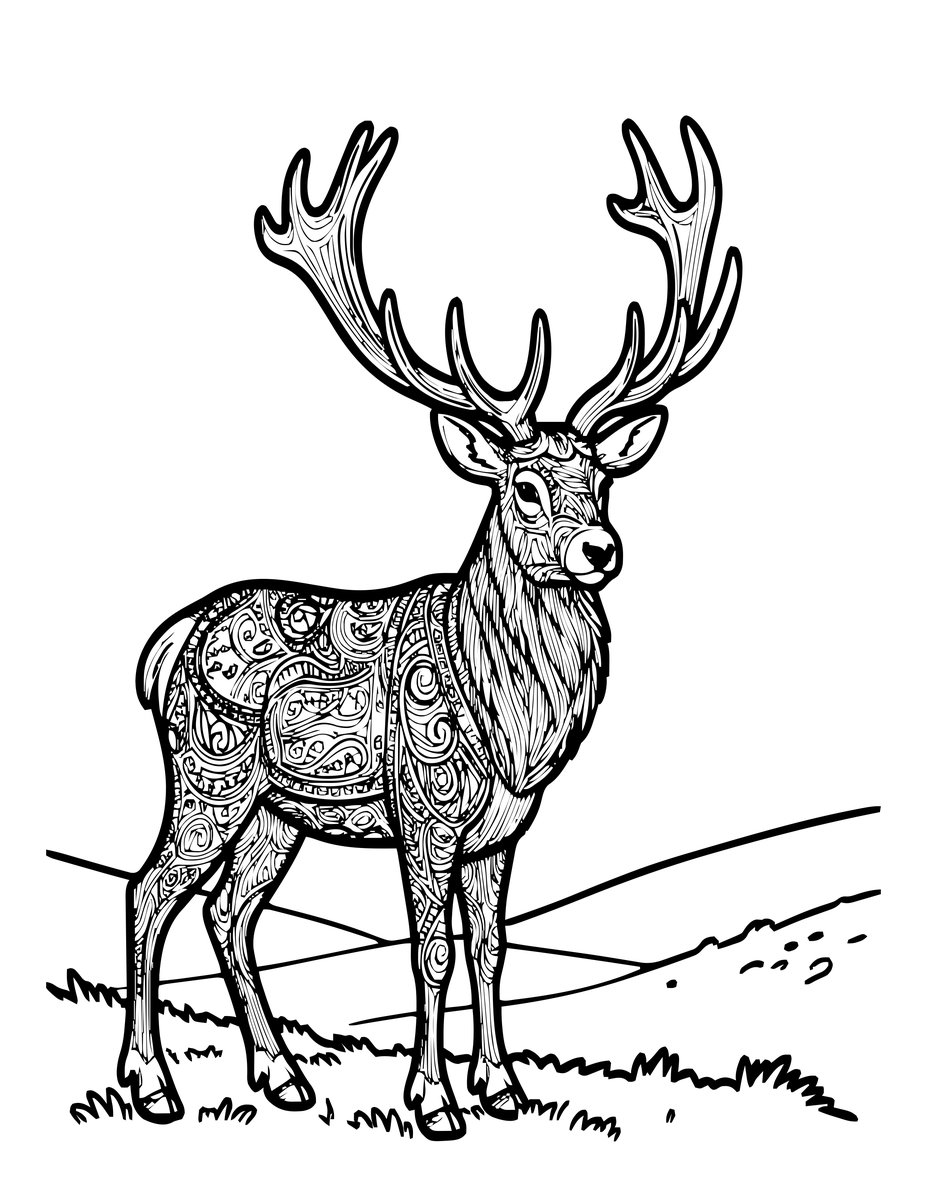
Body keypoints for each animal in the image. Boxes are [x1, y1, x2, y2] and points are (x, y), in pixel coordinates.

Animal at [118, 118, 741, 1139]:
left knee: (229, 911)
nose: (600, 549)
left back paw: (281, 1075)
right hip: (209, 769)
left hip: (278, 810)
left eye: (600, 479)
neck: (511, 728)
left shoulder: (502, 829)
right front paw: (433, 1100)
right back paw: (152, 1084)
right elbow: (430, 950)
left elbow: (492, 944)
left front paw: (504, 1088)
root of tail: (162, 645)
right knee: (150, 891)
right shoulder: (426, 807)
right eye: (521, 485)